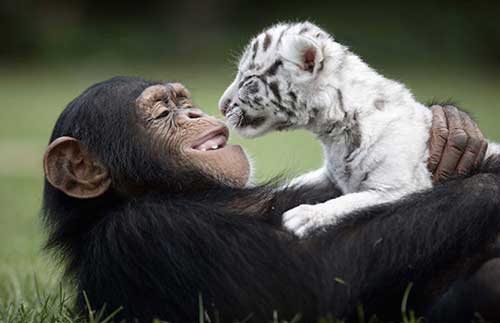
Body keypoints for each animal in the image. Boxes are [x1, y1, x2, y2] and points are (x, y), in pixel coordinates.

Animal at [42, 76, 500, 323]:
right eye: (160, 113)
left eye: (182, 101)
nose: (194, 114)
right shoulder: (146, 234)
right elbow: (315, 285)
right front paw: (488, 185)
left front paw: (451, 129)